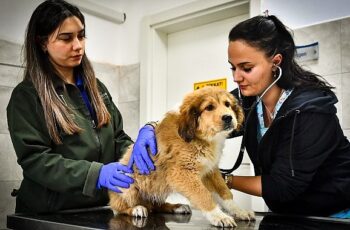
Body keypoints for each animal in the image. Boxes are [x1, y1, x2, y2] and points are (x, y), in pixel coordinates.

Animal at [110, 86, 256, 228]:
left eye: (227, 104)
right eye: (209, 107)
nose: (228, 117)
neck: (200, 138)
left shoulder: (210, 171)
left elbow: (224, 192)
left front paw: (239, 211)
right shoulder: (182, 173)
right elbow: (203, 195)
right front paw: (219, 216)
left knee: (156, 205)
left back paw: (177, 207)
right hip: (127, 183)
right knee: (119, 207)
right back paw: (137, 209)